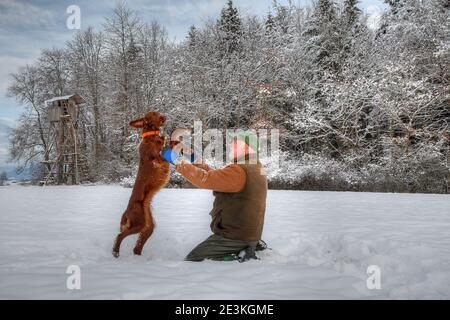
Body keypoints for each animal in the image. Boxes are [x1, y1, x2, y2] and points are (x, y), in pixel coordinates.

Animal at [111, 110, 177, 258]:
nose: (164, 117)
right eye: (154, 114)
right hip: (139, 222)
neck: (152, 135)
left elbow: (170, 143)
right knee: (120, 235)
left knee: (137, 246)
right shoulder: (156, 158)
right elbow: (161, 155)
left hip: (148, 226)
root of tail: (127, 211)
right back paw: (115, 252)